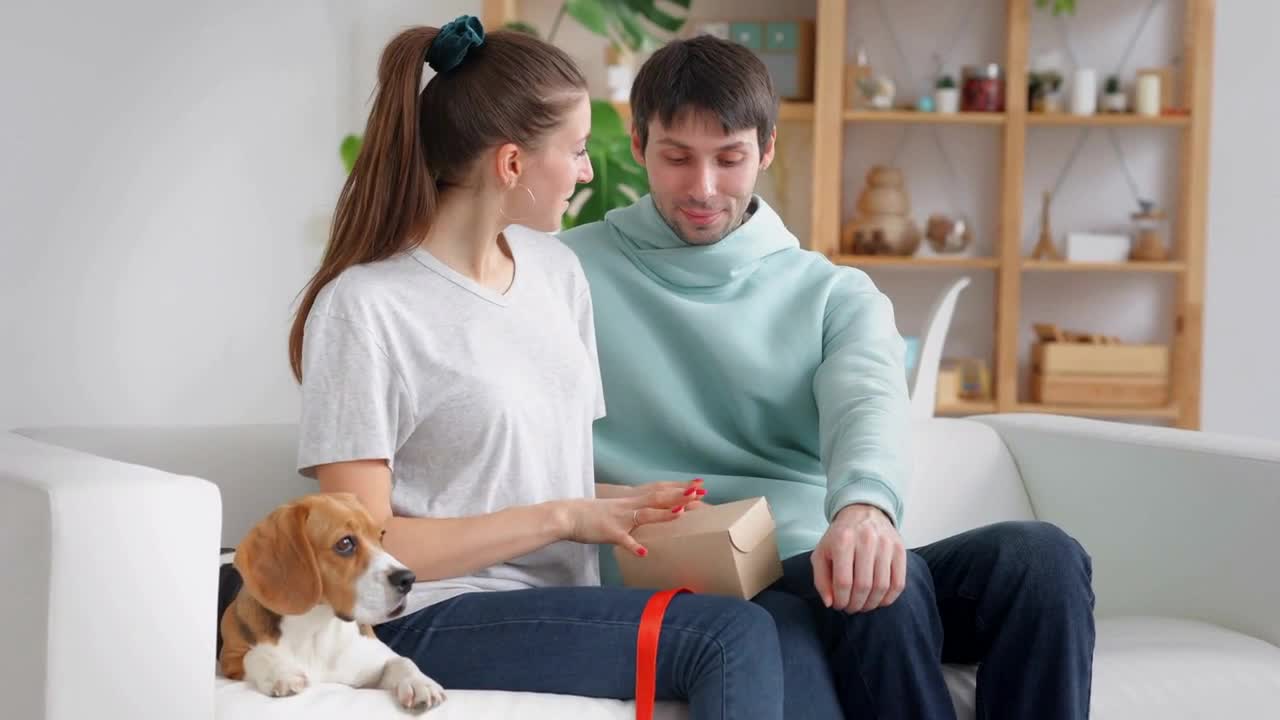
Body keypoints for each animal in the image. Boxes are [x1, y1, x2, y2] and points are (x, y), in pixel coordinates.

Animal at [216, 489, 445, 707]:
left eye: (381, 536)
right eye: (344, 543)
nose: (408, 579)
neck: (316, 627)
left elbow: (402, 661)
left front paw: (420, 682)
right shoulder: (229, 659)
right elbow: (254, 654)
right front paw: (282, 672)